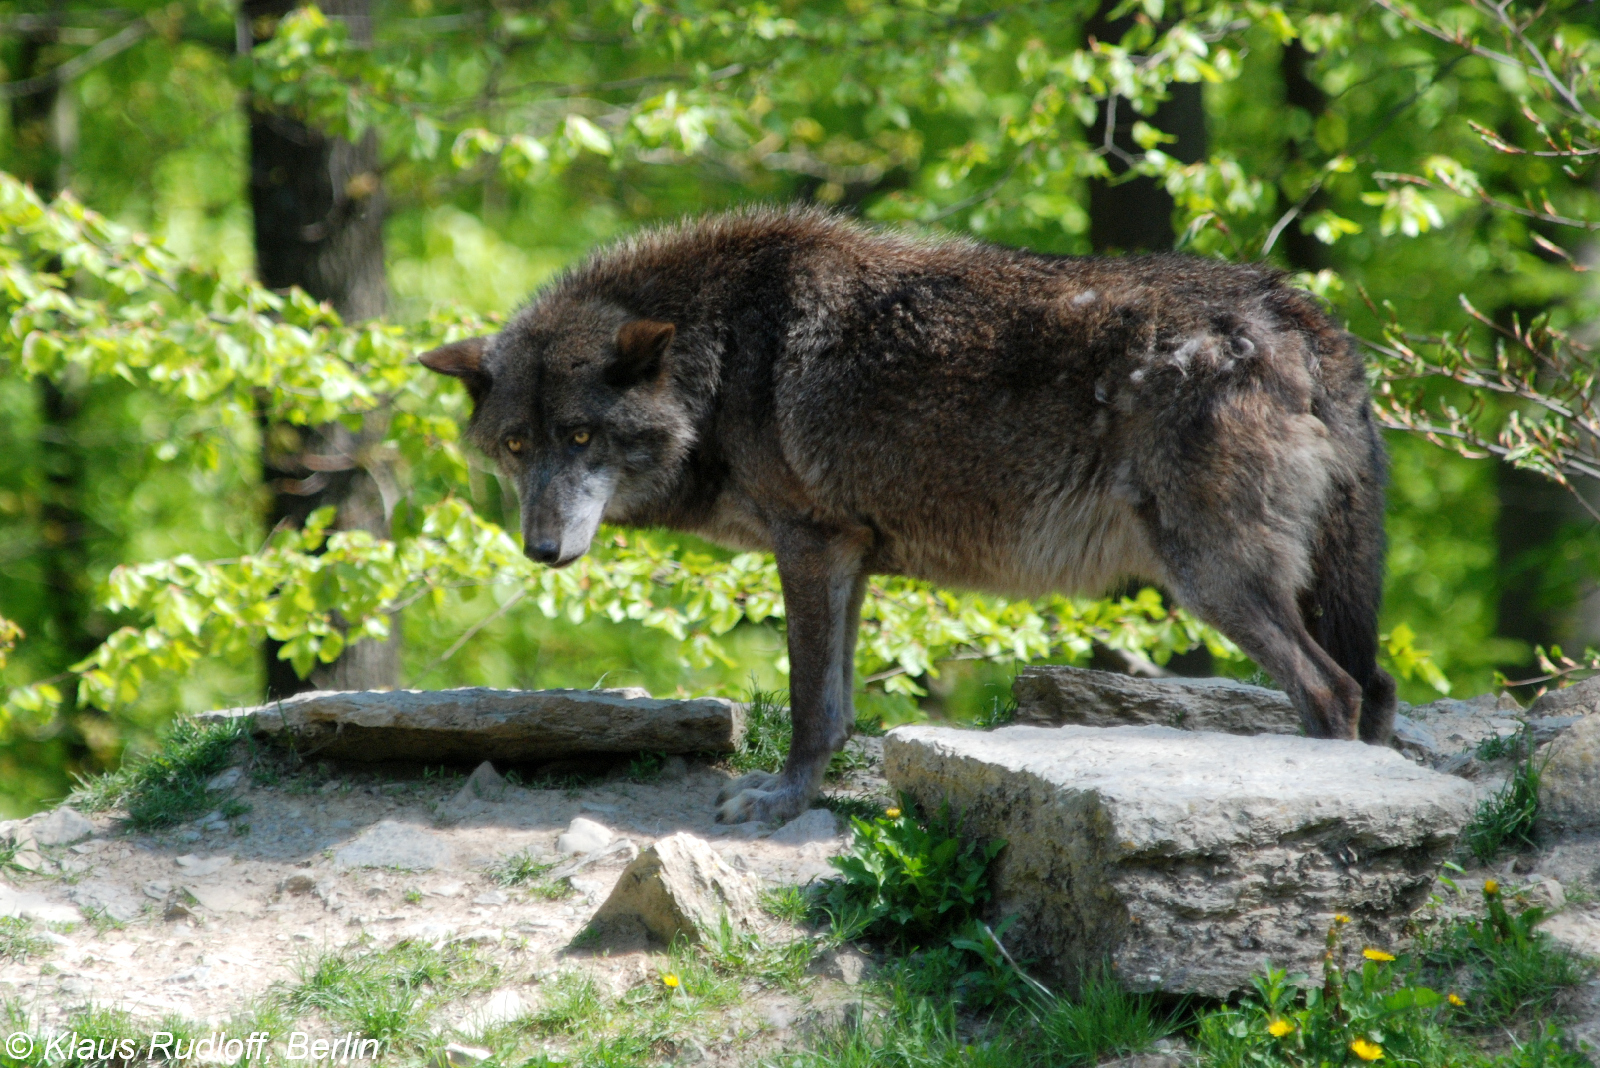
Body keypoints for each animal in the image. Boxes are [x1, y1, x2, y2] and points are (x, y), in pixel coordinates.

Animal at [419, 206, 1395, 824]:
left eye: (583, 435)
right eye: (517, 445)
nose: (542, 549)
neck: (720, 355)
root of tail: (1296, 310)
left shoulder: (810, 543)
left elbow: (809, 704)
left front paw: (781, 802)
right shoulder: (848, 553)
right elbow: (838, 703)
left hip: (1212, 577)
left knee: (1333, 689)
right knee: (1377, 690)